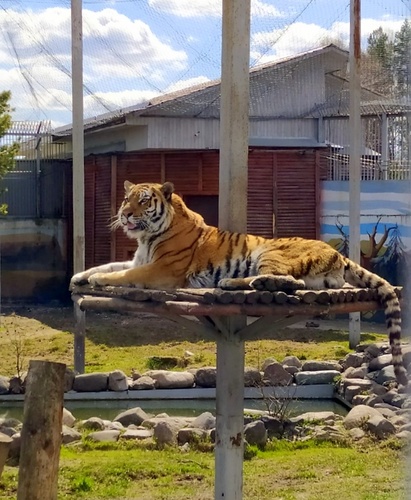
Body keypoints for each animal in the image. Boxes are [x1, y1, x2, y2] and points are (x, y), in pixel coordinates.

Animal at [71, 181, 408, 386]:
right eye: (126, 199)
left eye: (143, 201)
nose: (125, 214)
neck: (147, 237)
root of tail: (337, 253)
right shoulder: (139, 260)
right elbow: (110, 265)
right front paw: (81, 275)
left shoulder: (161, 270)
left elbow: (121, 275)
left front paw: (98, 279)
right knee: (298, 283)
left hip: (269, 251)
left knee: (288, 280)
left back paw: (232, 282)